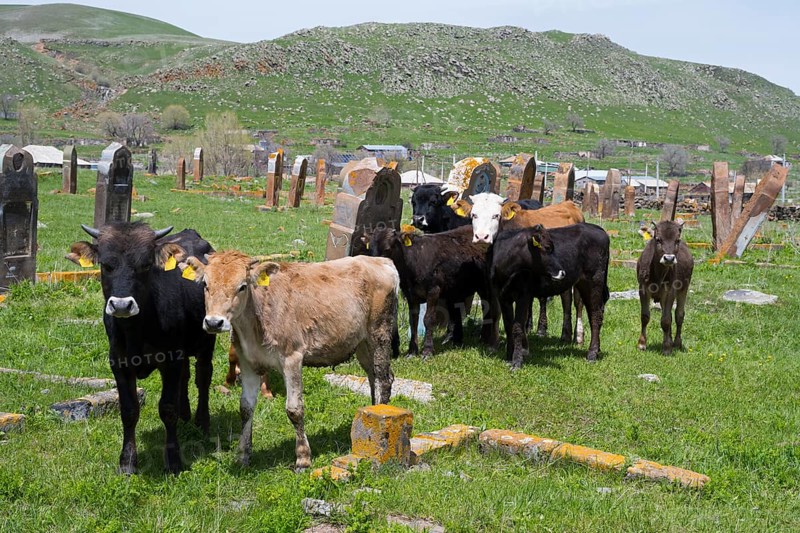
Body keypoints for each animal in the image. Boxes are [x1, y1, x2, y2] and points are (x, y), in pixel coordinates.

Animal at [66, 223, 215, 474]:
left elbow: (167, 409)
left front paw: (173, 460)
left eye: (145, 265)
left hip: (208, 339)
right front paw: (127, 462)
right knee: (186, 377)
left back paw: (202, 422)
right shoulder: (119, 364)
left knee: (203, 377)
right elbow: (129, 410)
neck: (137, 330)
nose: (122, 305)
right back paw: (186, 415)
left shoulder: (170, 360)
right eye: (106, 265)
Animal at [179, 251, 398, 470]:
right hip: (362, 343)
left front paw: (303, 458)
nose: (214, 322)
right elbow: (245, 408)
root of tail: (379, 260)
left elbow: (294, 409)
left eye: (242, 286)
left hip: (379, 332)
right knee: (373, 378)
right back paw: (369, 413)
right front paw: (243, 456)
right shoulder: (248, 363)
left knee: (383, 380)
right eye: (205, 284)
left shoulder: (292, 358)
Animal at [367, 225, 497, 358]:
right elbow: (413, 321)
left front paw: (427, 350)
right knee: (456, 310)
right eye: (370, 250)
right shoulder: (410, 294)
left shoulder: (433, 291)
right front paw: (412, 351)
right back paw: (456, 340)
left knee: (488, 309)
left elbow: (428, 319)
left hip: (484, 285)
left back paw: (485, 339)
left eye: (387, 249)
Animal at [490, 223, 610, 369]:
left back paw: (592, 354)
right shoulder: (502, 297)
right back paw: (597, 349)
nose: (562, 272)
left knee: (595, 316)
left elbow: (517, 327)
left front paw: (517, 361)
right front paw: (509, 357)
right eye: (547, 247)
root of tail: (598, 228)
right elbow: (508, 326)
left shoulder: (523, 296)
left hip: (593, 281)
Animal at [636, 220, 693, 355]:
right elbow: (645, 316)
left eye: (677, 240)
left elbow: (666, 320)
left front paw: (666, 347)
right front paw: (642, 344)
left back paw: (676, 343)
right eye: (658, 239)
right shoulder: (643, 289)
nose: (669, 258)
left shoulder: (670, 292)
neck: (657, 274)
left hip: (684, 288)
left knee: (679, 315)